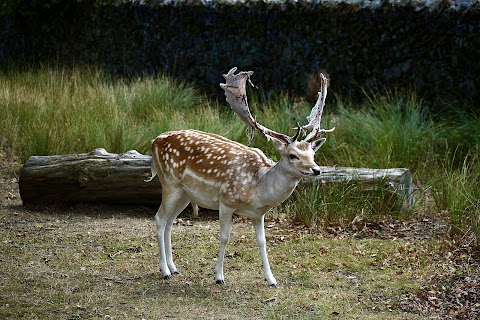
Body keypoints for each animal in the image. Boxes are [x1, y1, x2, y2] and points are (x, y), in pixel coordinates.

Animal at [146, 68, 334, 288]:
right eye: (293, 155)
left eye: (313, 154)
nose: (316, 170)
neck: (257, 188)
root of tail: (154, 141)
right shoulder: (226, 202)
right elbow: (224, 237)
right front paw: (219, 277)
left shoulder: (258, 214)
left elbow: (262, 241)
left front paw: (271, 279)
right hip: (169, 183)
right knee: (160, 219)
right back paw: (165, 271)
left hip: (185, 193)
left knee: (170, 222)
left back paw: (174, 268)